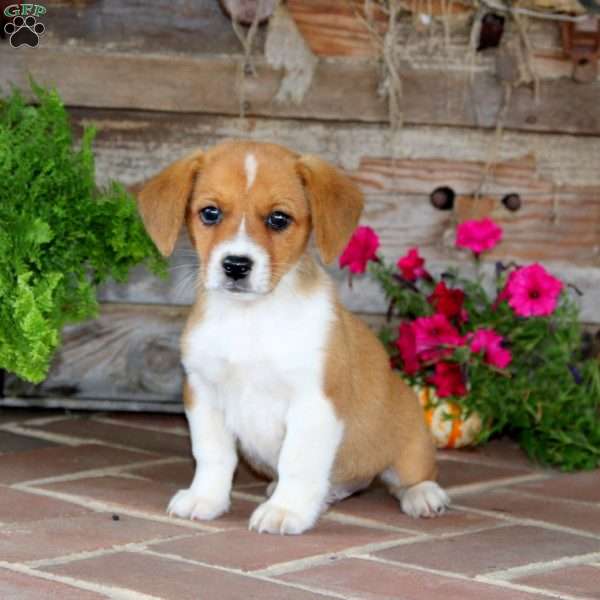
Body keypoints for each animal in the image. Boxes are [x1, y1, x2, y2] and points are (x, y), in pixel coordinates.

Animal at [139, 139, 450, 536]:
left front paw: (286, 510)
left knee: (409, 477)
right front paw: (205, 498)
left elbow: (298, 462)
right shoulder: (203, 393)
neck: (251, 318)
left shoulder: (313, 402)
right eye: (210, 213)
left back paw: (423, 495)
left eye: (278, 219)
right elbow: (212, 455)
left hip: (409, 445)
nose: (236, 265)